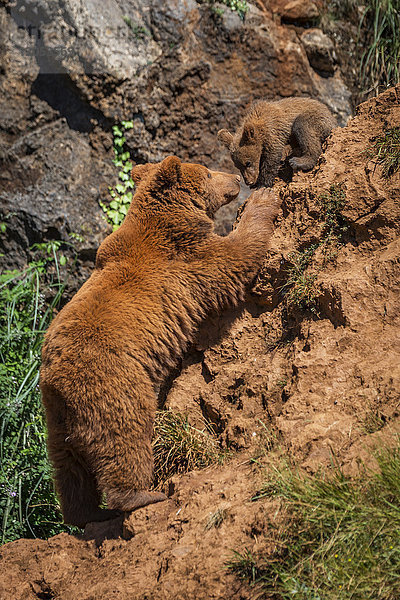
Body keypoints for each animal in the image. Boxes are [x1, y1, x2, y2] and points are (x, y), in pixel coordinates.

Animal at [39, 155, 278, 524]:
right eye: (207, 172)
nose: (237, 178)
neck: (169, 218)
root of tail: (56, 380)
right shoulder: (186, 259)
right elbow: (234, 256)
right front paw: (264, 199)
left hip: (56, 418)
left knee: (69, 467)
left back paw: (86, 515)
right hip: (114, 383)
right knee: (125, 435)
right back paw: (141, 495)